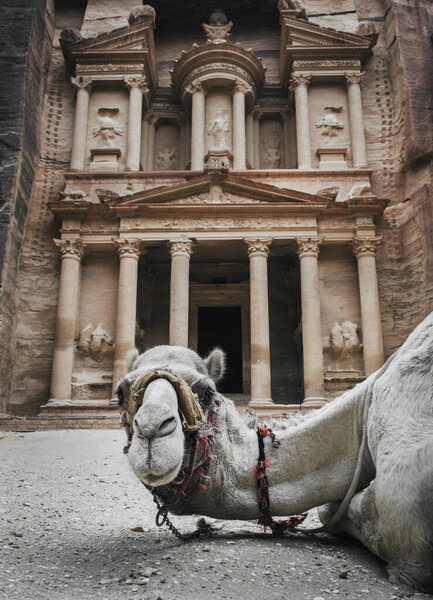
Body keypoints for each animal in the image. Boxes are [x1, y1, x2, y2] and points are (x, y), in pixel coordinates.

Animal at [115, 312, 432, 592]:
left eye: (207, 392)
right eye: (120, 393)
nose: (152, 428)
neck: (363, 410)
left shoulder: (405, 493)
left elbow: (352, 513)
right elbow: (331, 508)